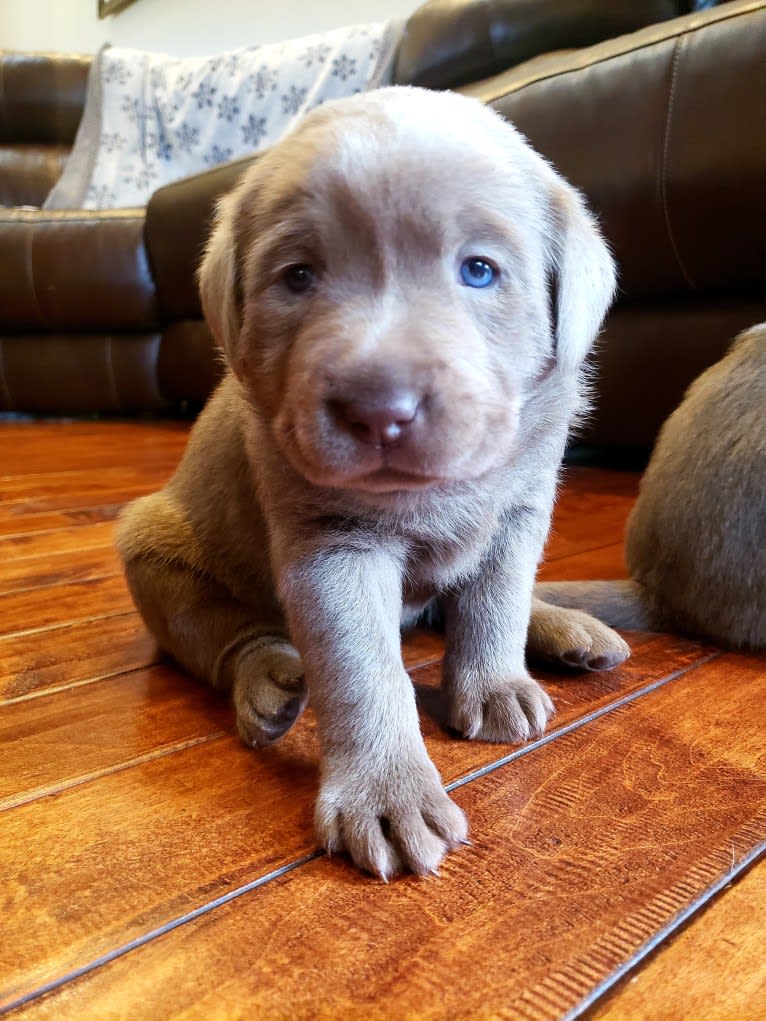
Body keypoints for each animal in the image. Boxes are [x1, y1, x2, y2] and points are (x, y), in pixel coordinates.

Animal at [115, 87, 629, 878]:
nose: (380, 409)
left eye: (479, 270)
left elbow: (497, 600)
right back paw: (267, 682)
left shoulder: (521, 509)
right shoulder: (332, 546)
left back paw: (567, 628)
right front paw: (386, 793)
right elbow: (362, 669)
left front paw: (495, 682)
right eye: (298, 276)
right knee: (225, 637)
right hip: (156, 551)